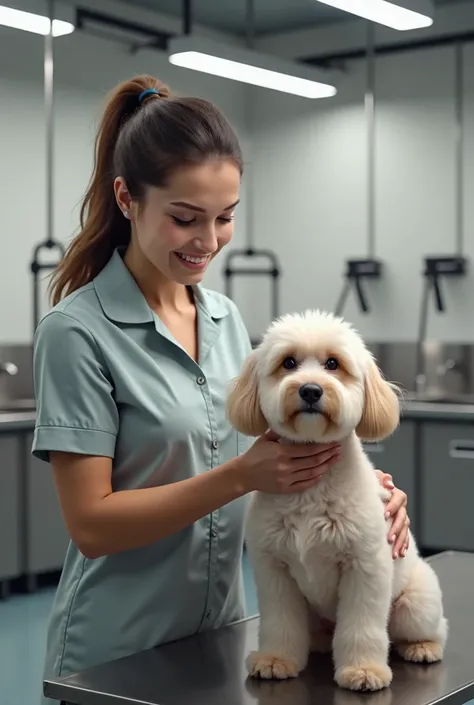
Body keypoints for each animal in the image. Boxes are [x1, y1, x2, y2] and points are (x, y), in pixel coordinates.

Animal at [226, 310, 448, 692]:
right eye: (288, 363)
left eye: (333, 364)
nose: (310, 389)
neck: (311, 493)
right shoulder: (273, 570)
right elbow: (280, 622)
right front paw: (276, 659)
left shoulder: (365, 568)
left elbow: (361, 626)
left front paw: (363, 670)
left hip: (414, 606)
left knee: (434, 629)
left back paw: (423, 647)